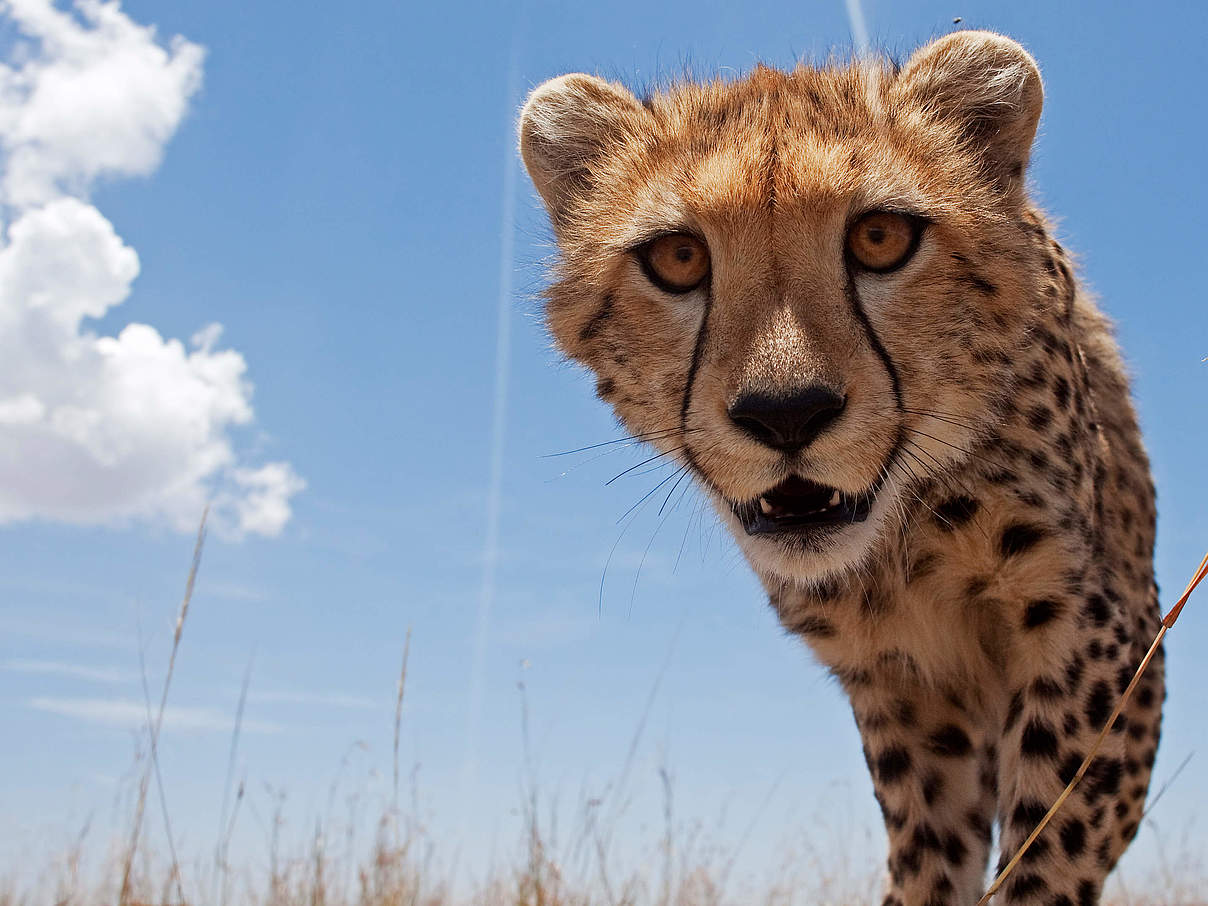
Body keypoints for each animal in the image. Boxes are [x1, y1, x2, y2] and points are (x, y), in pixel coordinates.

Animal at [517, 32, 1159, 903]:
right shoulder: (903, 689)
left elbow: (1047, 856)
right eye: (679, 257)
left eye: (880, 239)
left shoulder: (1104, 636)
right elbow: (932, 854)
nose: (786, 413)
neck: (902, 539)